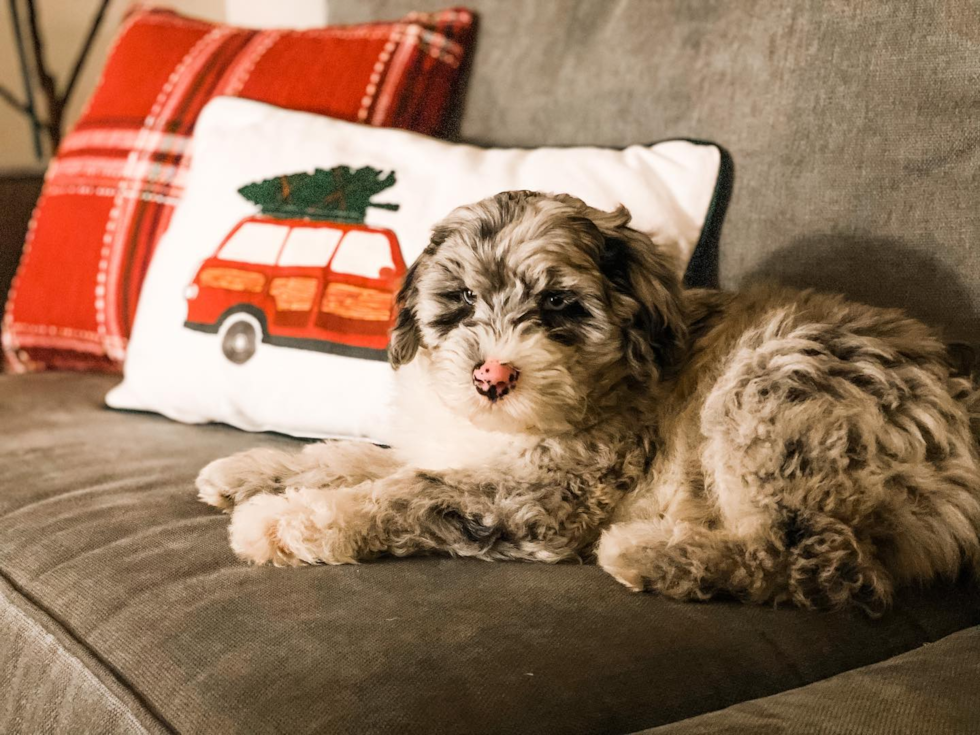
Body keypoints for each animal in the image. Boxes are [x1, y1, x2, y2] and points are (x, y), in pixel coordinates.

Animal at [193, 191, 980, 616]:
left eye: (559, 306)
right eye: (464, 298)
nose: (491, 377)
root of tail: (957, 406)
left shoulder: (550, 492)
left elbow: (404, 491)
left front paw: (283, 522)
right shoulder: (451, 442)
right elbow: (359, 455)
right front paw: (250, 472)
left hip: (769, 397)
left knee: (827, 564)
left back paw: (652, 553)